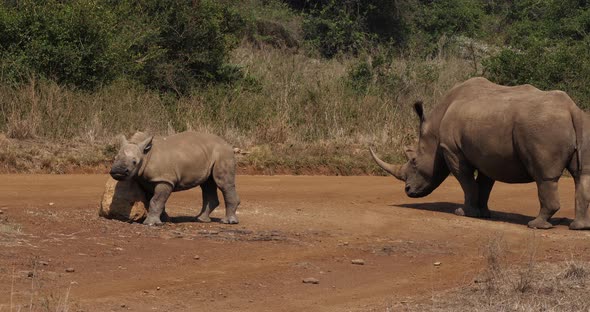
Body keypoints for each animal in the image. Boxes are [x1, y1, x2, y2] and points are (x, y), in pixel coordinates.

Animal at [110, 130, 242, 225]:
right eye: (114, 158)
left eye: (134, 162)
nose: (117, 171)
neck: (145, 155)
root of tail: (227, 144)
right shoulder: (147, 181)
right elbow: (154, 200)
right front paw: (165, 220)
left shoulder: (165, 180)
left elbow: (156, 200)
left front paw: (151, 224)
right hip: (207, 154)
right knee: (207, 184)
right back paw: (200, 220)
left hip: (223, 153)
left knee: (223, 183)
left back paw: (228, 222)